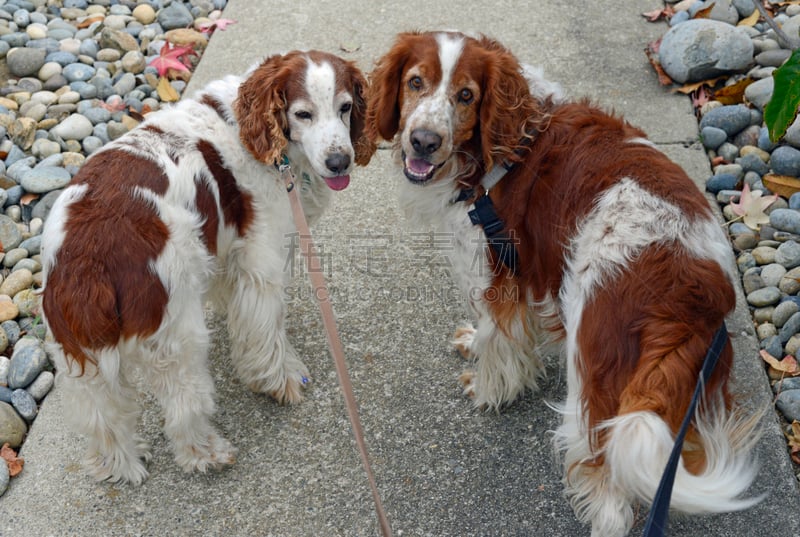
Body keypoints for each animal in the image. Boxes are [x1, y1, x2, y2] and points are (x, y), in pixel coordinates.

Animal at [40, 51, 372, 486]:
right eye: (303, 114)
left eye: (346, 107)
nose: (340, 162)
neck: (247, 127)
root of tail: (87, 259)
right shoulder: (262, 259)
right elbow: (265, 328)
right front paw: (280, 378)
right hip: (177, 341)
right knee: (183, 409)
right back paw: (206, 453)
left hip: (82, 359)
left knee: (104, 420)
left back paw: (121, 466)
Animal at [366, 31, 760, 532]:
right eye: (415, 82)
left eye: (466, 95)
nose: (422, 142)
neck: (509, 139)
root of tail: (690, 291)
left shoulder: (494, 272)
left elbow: (497, 338)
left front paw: (488, 386)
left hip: (594, 367)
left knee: (608, 484)